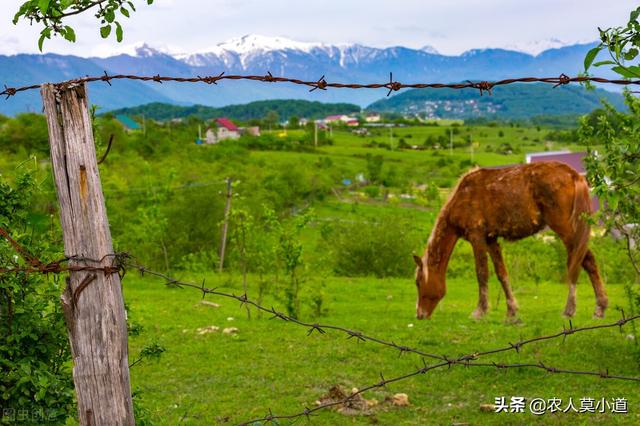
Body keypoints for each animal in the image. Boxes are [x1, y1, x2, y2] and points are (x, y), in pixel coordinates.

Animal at [412, 162, 608, 320]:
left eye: (418, 282)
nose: (420, 314)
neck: (462, 197)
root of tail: (574, 175)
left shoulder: (477, 237)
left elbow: (481, 273)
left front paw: (480, 311)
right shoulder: (491, 240)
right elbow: (502, 274)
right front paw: (511, 311)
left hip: (567, 230)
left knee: (584, 261)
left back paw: (575, 309)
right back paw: (598, 308)